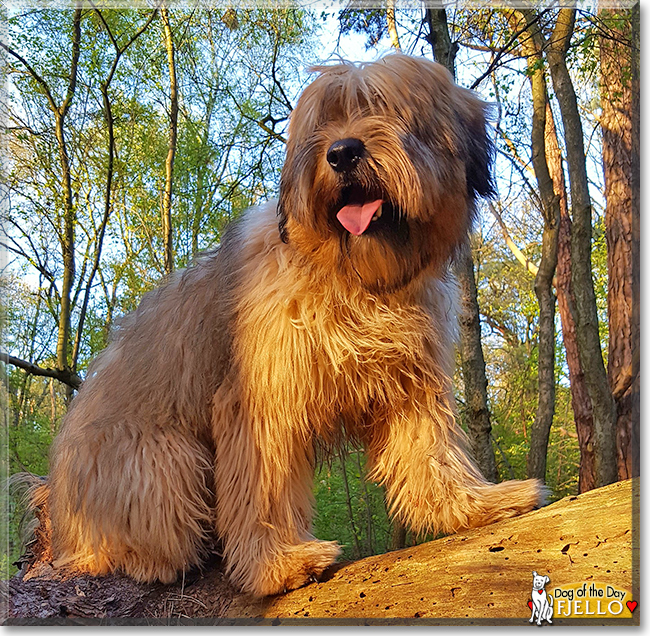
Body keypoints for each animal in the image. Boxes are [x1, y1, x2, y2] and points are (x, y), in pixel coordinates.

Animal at [35, 53, 540, 596]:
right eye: (322, 121)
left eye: (387, 109)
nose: (341, 153)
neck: (352, 275)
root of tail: (56, 515)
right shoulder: (261, 397)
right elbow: (263, 485)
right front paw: (277, 563)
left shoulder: (409, 379)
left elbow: (431, 449)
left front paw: (474, 505)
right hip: (161, 458)